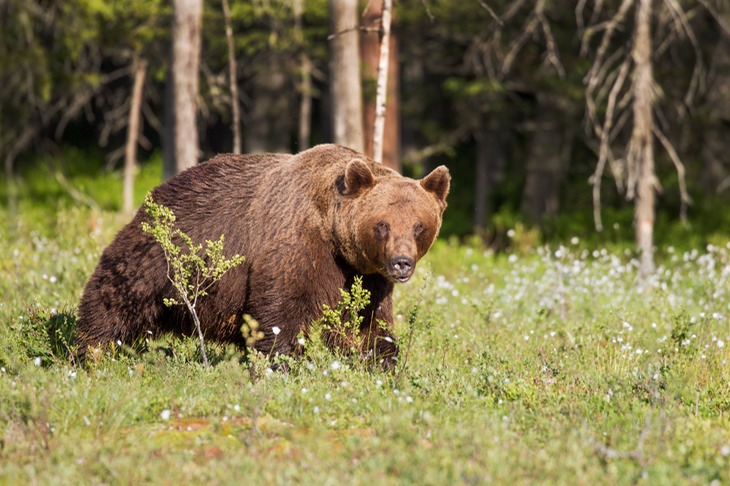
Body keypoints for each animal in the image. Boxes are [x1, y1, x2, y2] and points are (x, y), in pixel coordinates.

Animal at [77, 146, 446, 366]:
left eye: (419, 225)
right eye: (383, 224)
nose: (401, 262)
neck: (334, 237)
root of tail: (157, 190)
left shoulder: (366, 275)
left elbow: (368, 323)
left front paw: (382, 363)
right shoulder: (296, 244)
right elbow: (281, 310)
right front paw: (280, 363)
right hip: (159, 253)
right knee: (114, 299)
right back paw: (91, 352)